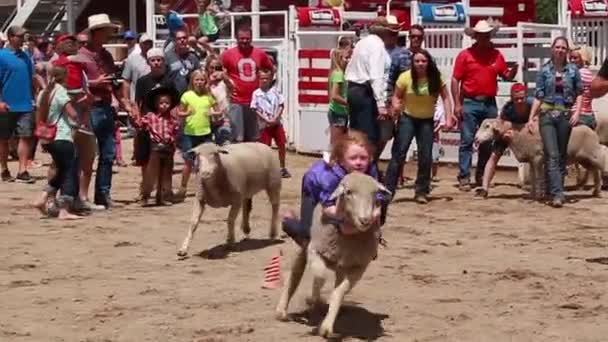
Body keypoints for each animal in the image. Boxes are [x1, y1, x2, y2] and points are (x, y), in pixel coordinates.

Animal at [276, 172, 390, 338]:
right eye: (348, 192)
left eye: (375, 194)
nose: (365, 220)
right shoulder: (314, 251)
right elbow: (320, 276)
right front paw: (314, 299)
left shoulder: (359, 267)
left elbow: (339, 292)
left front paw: (326, 328)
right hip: (303, 246)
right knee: (295, 274)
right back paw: (282, 311)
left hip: (342, 266)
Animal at [476, 119, 608, 199]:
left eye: (487, 126)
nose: (476, 139)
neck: (519, 134)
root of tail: (592, 131)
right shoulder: (531, 159)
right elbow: (533, 177)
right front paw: (533, 194)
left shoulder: (538, 158)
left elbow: (538, 177)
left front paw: (539, 195)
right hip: (584, 159)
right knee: (595, 170)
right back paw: (596, 192)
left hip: (593, 153)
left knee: (602, 156)